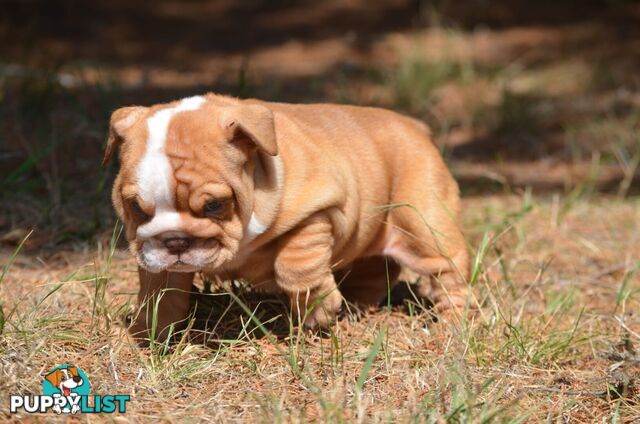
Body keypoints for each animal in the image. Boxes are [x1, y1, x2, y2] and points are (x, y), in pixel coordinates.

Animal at [105, 93, 472, 342]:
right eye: (136, 207)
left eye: (214, 205)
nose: (176, 241)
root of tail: (415, 125)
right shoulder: (156, 258)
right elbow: (159, 290)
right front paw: (149, 332)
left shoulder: (319, 211)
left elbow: (295, 264)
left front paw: (319, 310)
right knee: (375, 270)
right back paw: (356, 306)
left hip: (422, 221)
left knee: (448, 270)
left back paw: (453, 321)